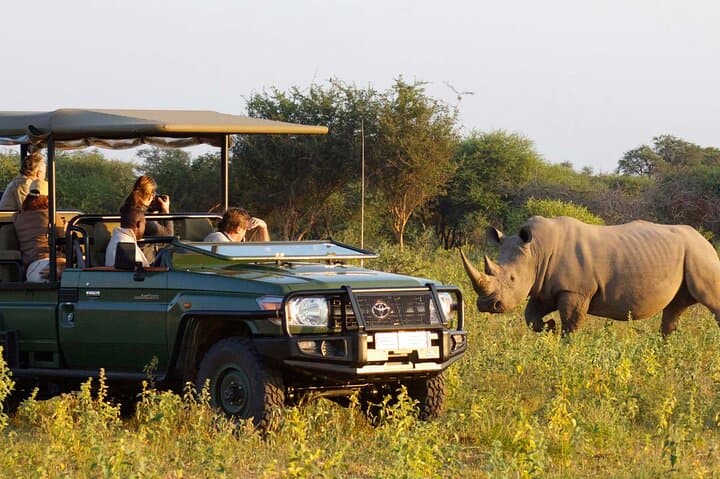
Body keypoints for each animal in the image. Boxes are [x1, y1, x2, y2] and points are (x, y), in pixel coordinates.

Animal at [460, 215, 720, 335]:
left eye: (512, 279)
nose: (486, 305)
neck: (536, 251)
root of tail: (705, 240)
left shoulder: (574, 290)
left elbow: (571, 323)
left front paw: (565, 347)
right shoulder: (544, 288)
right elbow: (530, 316)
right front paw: (549, 326)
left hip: (701, 255)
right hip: (690, 255)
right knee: (675, 309)